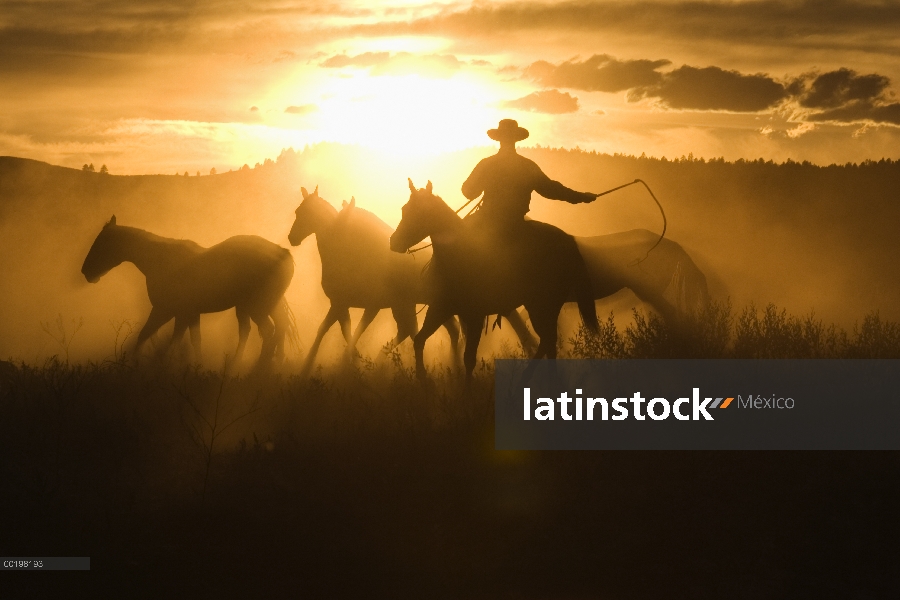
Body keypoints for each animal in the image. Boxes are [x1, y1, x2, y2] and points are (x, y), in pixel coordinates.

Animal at [81, 216, 296, 366]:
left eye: (101, 244)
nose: (85, 271)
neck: (160, 261)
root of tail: (283, 253)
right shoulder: (188, 313)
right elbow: (193, 340)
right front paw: (196, 366)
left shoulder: (166, 311)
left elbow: (149, 335)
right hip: (261, 307)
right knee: (276, 328)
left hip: (256, 308)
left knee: (268, 332)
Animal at [288, 184, 464, 370]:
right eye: (298, 211)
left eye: (307, 213)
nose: (292, 238)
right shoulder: (350, 304)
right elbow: (342, 330)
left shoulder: (344, 303)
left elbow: (343, 331)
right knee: (445, 329)